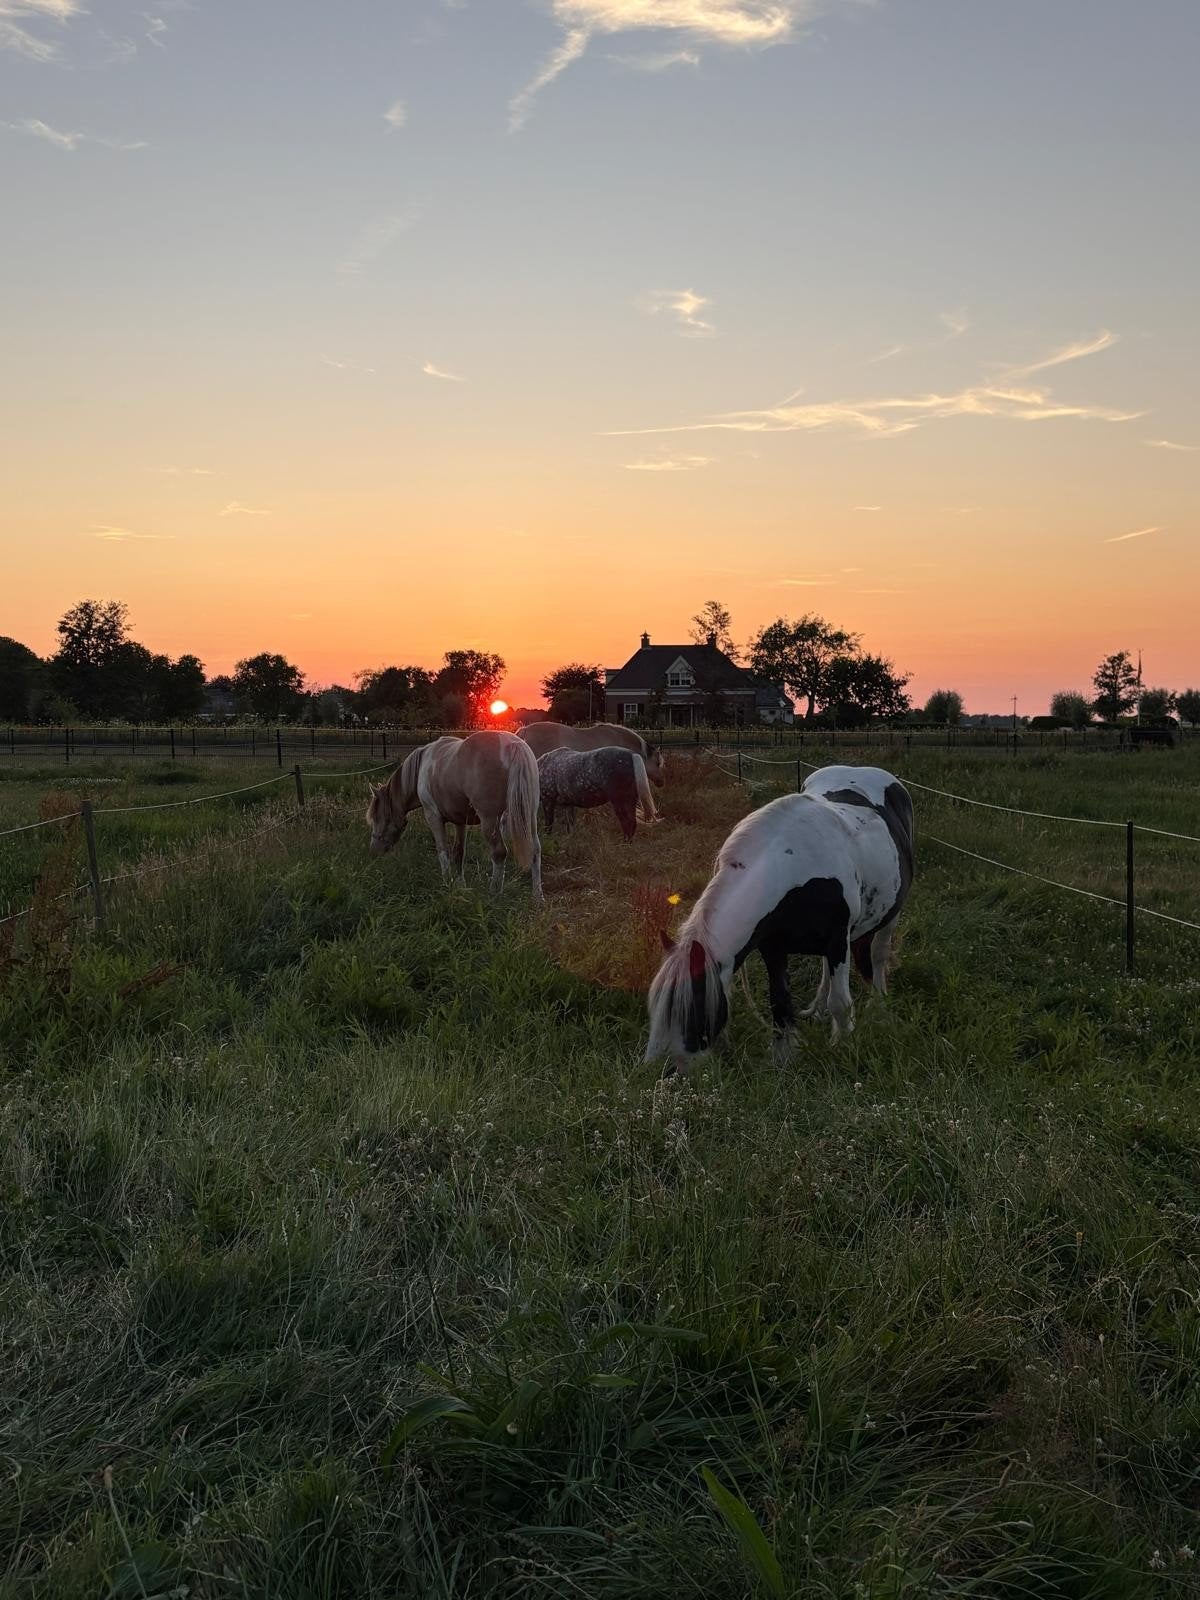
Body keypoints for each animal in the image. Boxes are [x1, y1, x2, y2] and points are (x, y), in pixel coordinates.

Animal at [366, 732, 543, 904]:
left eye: (377, 817)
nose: (373, 851)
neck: (422, 766)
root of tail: (512, 744)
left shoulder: (433, 817)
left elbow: (442, 851)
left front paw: (447, 883)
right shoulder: (460, 822)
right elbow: (459, 853)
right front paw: (460, 885)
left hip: (490, 820)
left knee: (499, 853)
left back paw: (494, 893)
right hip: (530, 816)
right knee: (535, 849)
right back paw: (537, 896)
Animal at [645, 765, 913, 1074]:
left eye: (692, 1011)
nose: (672, 1072)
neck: (794, 869)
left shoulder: (837, 940)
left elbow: (840, 1002)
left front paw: (844, 1045)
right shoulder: (773, 948)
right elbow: (780, 1003)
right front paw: (784, 1058)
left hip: (890, 914)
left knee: (879, 955)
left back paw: (879, 1008)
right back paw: (817, 1010)